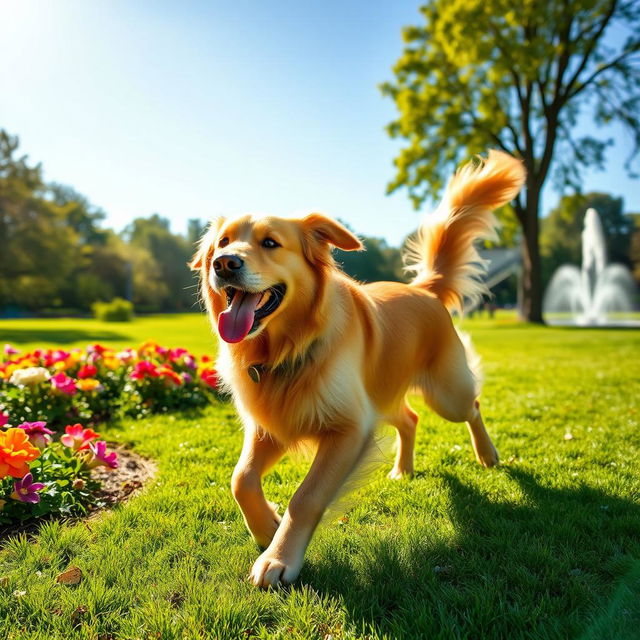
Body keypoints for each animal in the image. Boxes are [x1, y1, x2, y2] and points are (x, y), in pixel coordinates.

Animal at [192, 149, 528, 584]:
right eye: (223, 241)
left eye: (270, 243)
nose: (223, 263)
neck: (288, 347)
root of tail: (424, 289)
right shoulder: (272, 425)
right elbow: (241, 479)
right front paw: (266, 526)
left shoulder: (349, 428)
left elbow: (306, 497)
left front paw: (279, 557)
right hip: (384, 397)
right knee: (410, 418)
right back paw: (403, 470)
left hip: (445, 393)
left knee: (472, 407)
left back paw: (487, 454)